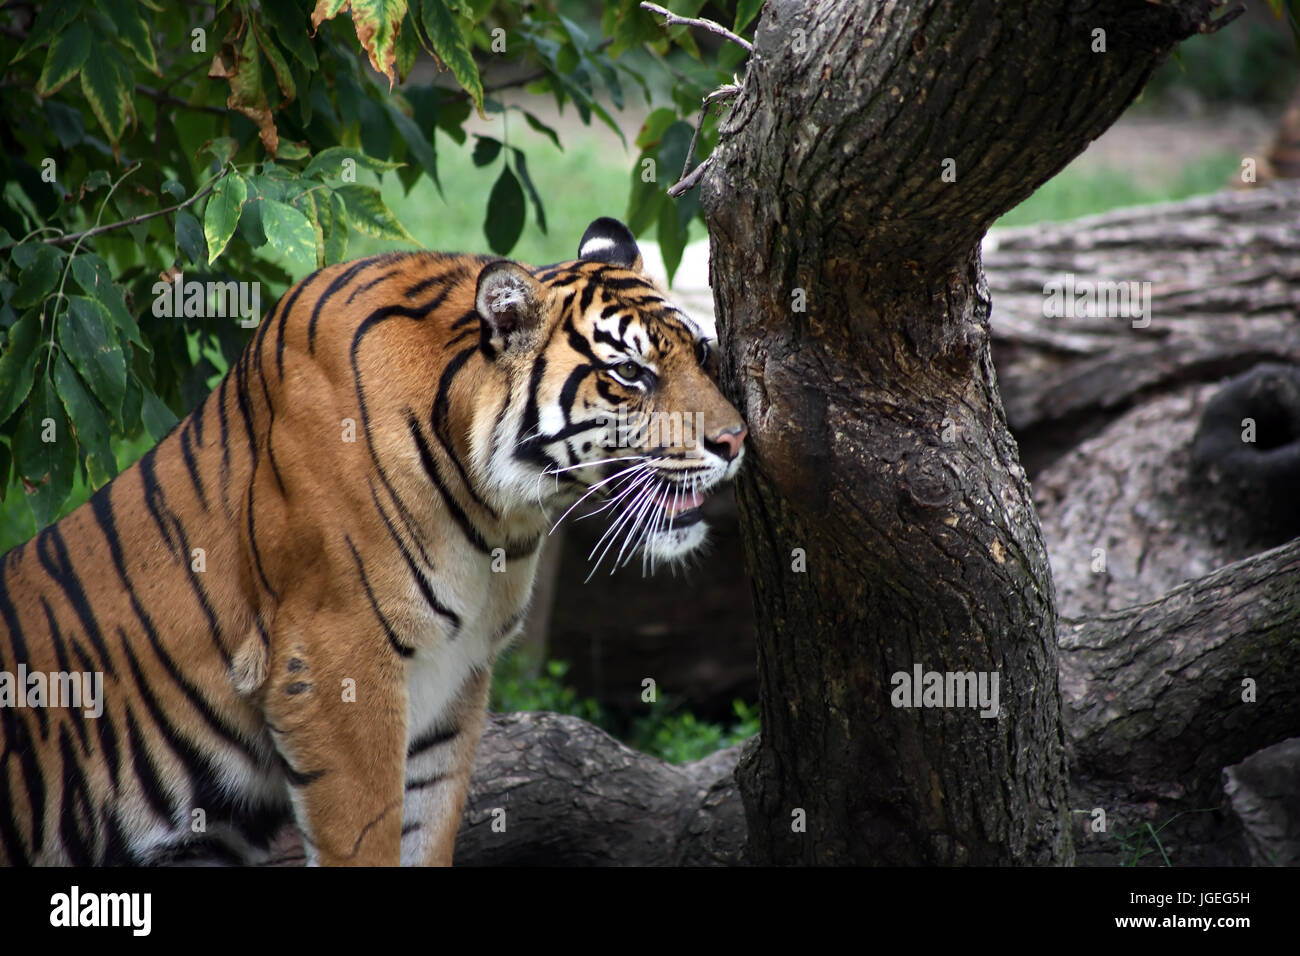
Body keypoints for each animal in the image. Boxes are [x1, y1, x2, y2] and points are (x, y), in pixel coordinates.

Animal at [0, 218, 748, 868]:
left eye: (702, 352)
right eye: (631, 375)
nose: (737, 441)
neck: (501, 517)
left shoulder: (454, 684)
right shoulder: (334, 668)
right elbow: (364, 839)